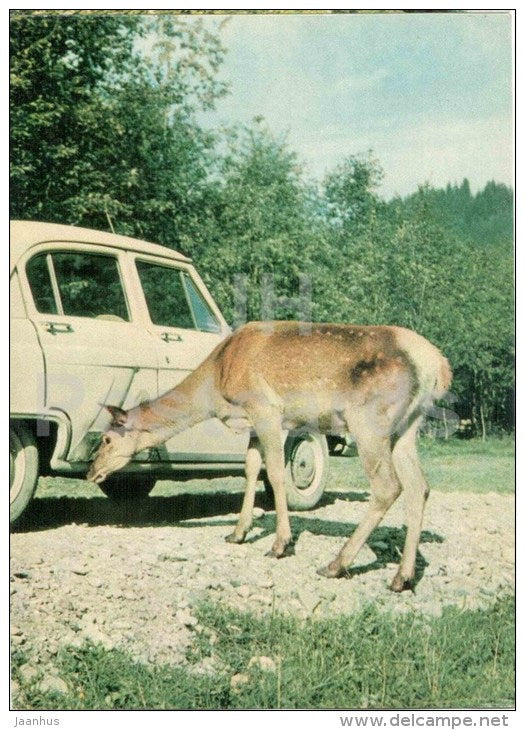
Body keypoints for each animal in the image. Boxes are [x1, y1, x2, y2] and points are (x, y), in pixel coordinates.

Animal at [87, 321, 452, 592]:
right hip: (408, 426)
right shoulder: (251, 424)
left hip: (369, 420)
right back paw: (403, 577)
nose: (91, 471)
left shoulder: (266, 410)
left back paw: (336, 564)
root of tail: (437, 365)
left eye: (106, 438)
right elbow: (250, 468)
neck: (216, 383)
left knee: (388, 485)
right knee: (419, 486)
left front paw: (280, 544)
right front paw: (238, 532)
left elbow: (275, 473)